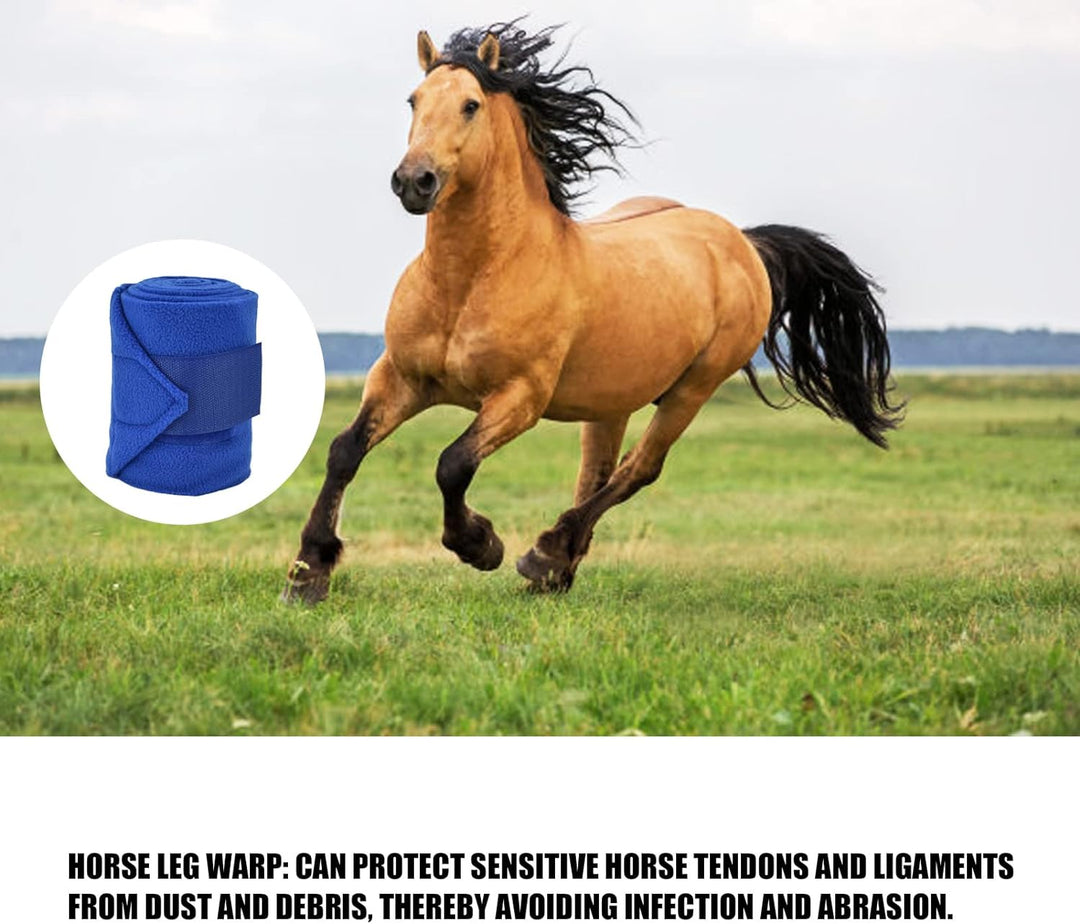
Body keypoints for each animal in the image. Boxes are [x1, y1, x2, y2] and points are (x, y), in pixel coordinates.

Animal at [283, 22, 903, 603]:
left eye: (470, 104)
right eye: (413, 100)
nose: (415, 181)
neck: (471, 279)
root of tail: (741, 242)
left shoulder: (519, 397)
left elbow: (451, 463)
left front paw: (481, 545)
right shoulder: (401, 378)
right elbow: (344, 451)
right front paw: (309, 572)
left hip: (693, 388)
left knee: (637, 470)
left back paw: (544, 555)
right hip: (612, 401)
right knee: (597, 473)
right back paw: (556, 570)